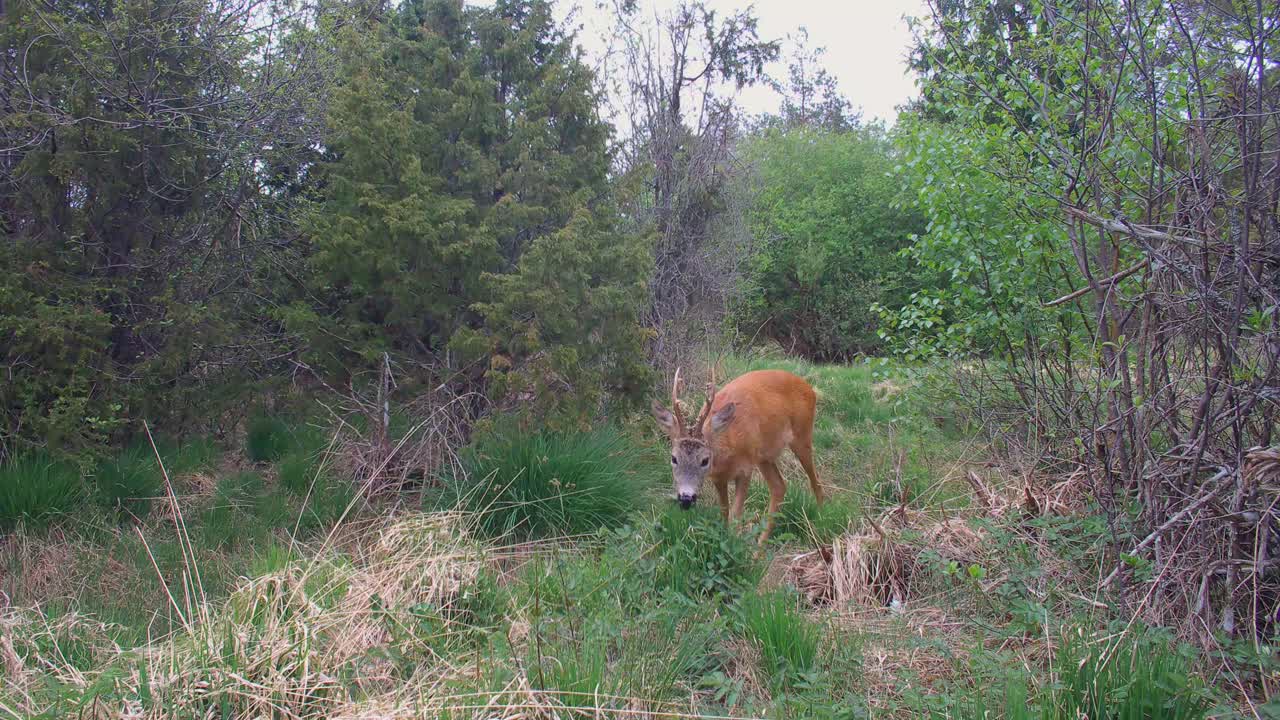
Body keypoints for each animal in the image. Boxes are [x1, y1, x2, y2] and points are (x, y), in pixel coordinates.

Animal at [651, 367, 825, 546]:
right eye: (674, 458)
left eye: (705, 460)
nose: (686, 498)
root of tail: (809, 388)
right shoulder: (718, 477)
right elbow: (724, 512)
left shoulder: (746, 469)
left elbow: (736, 515)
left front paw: (734, 543)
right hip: (764, 456)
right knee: (779, 486)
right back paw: (760, 547)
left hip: (802, 435)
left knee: (815, 480)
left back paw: (820, 520)